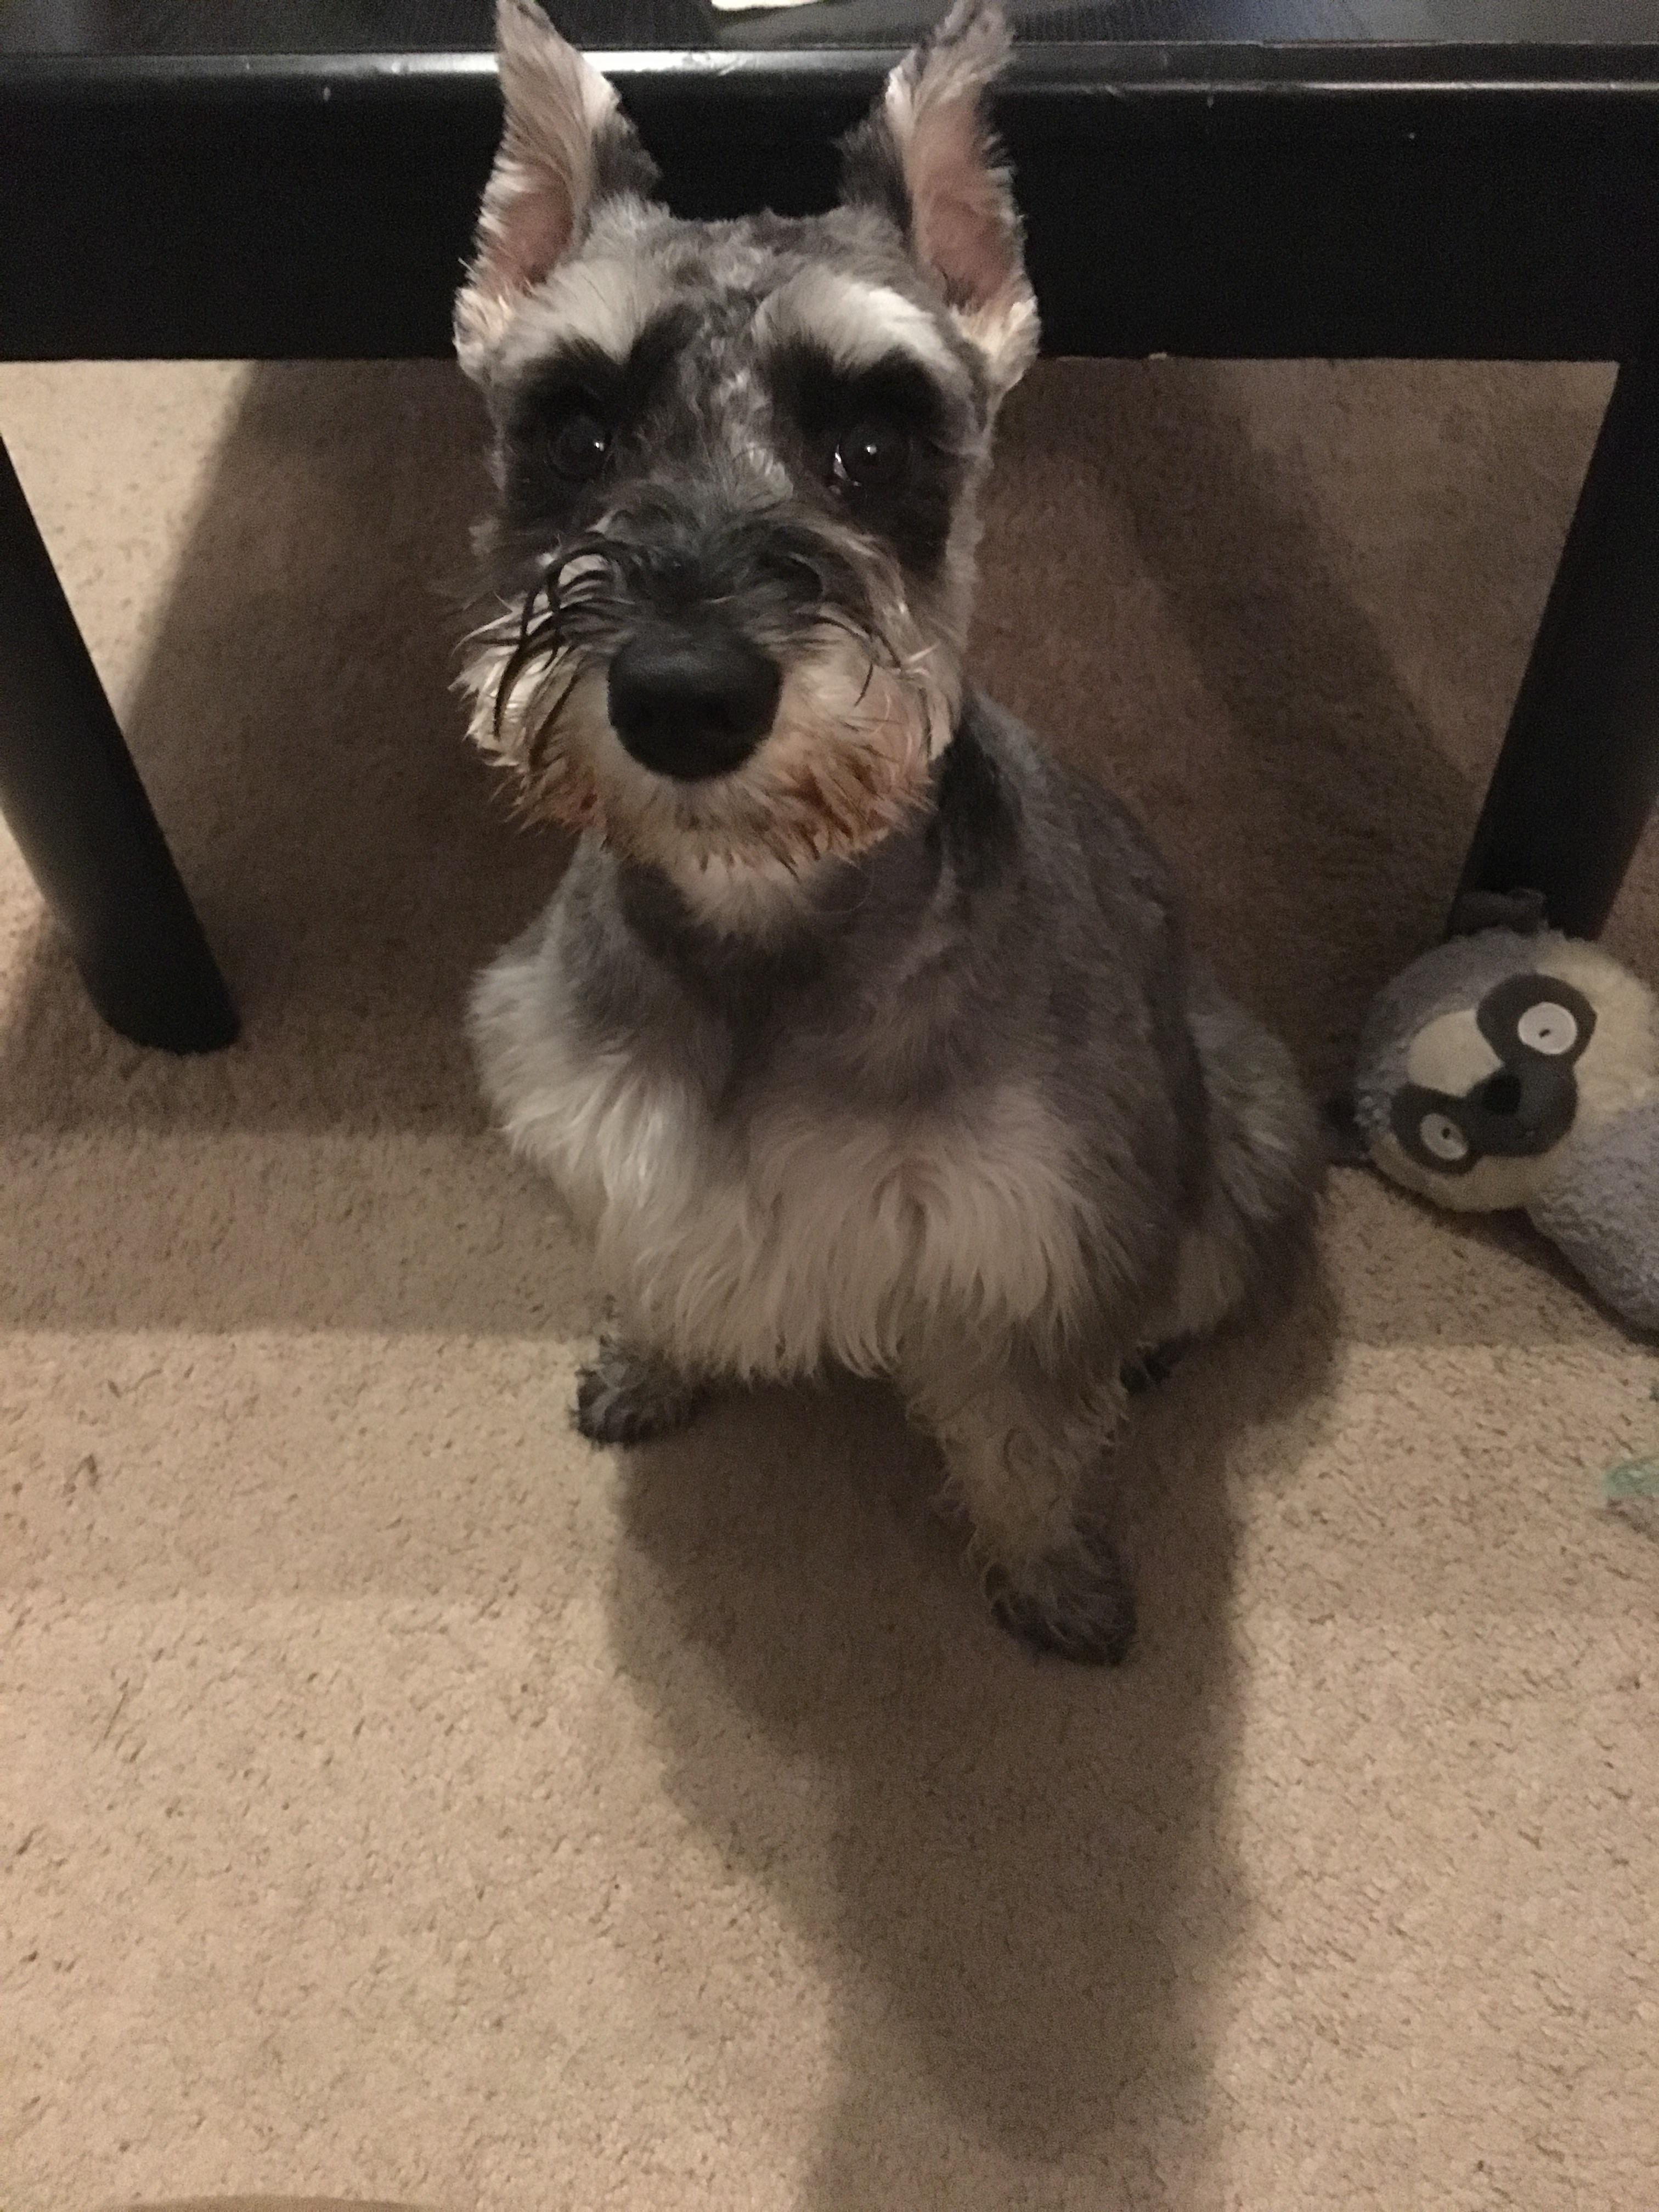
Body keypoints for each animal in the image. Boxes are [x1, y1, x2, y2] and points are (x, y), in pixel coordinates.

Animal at [455, 0, 1327, 1663]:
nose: (684, 695)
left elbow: (1026, 1436)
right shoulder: (621, 1146)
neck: (763, 922)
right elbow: (657, 1274)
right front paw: (649, 1366)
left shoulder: (1034, 1233)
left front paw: (1053, 1579)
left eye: (872, 445)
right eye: (578, 433)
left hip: (1246, 1116)